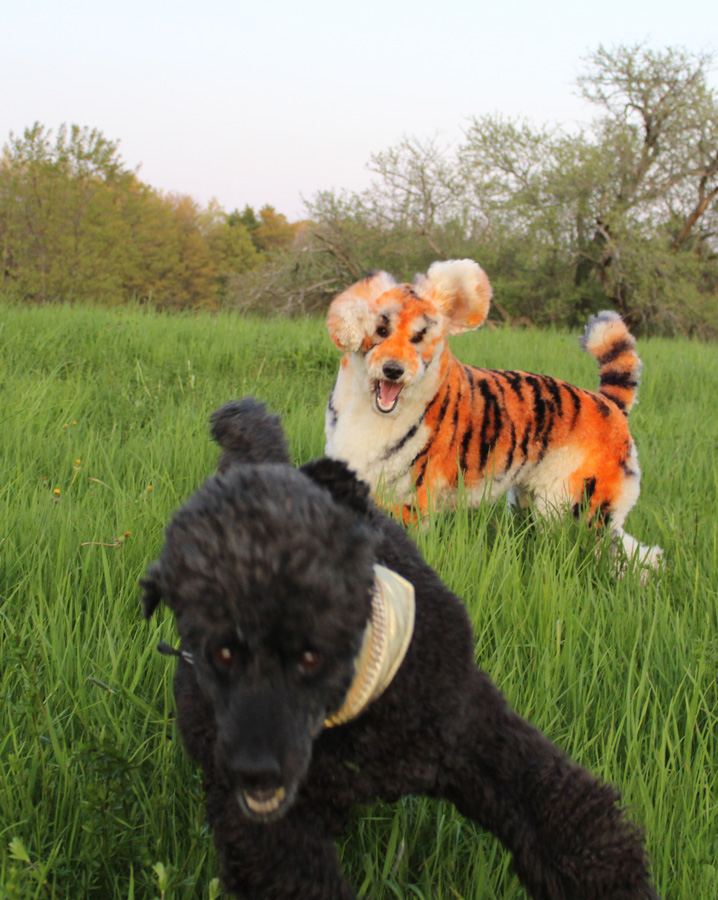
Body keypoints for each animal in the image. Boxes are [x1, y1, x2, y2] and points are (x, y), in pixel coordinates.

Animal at [324, 258, 662, 569]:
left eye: (419, 337)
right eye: (381, 330)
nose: (393, 370)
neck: (369, 409)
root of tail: (610, 402)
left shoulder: (410, 500)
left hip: (589, 507)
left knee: (621, 552)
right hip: (534, 500)